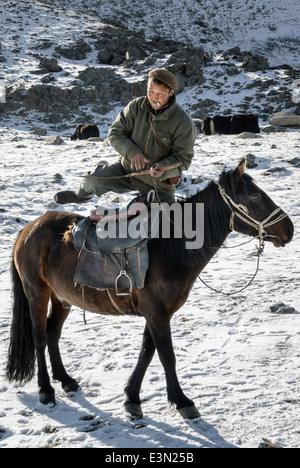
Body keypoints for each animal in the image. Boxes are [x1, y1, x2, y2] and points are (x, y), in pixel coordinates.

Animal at [6, 158, 292, 420]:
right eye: (255, 195)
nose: (288, 228)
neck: (171, 247)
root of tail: (28, 229)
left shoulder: (158, 314)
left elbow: (147, 352)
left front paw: (132, 397)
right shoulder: (156, 313)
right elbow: (166, 355)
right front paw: (182, 401)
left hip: (62, 298)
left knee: (52, 334)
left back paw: (65, 379)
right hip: (37, 294)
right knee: (40, 337)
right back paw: (46, 389)